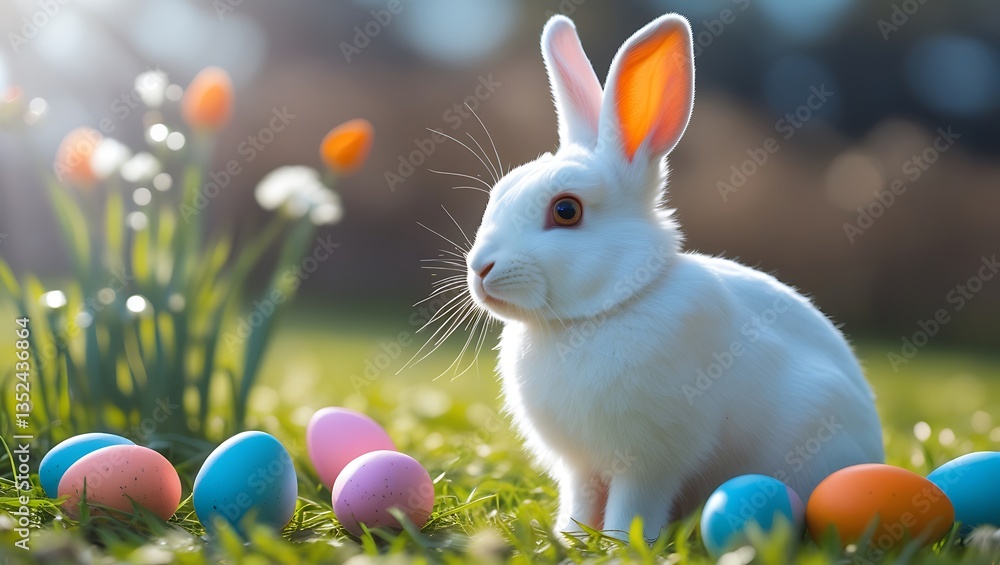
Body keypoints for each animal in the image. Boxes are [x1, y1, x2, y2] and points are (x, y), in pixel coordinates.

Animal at [462, 13, 885, 542]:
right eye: (498, 194)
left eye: (566, 211)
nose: (480, 268)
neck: (600, 312)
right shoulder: (580, 468)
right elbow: (580, 502)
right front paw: (570, 539)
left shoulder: (650, 463)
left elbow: (634, 503)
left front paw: (621, 544)